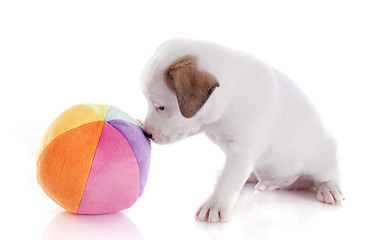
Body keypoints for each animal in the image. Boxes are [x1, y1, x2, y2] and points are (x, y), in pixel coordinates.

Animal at [139, 38, 344, 223]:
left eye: (160, 107)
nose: (147, 133)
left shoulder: (241, 154)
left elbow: (228, 180)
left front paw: (214, 205)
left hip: (324, 158)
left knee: (328, 177)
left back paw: (329, 189)